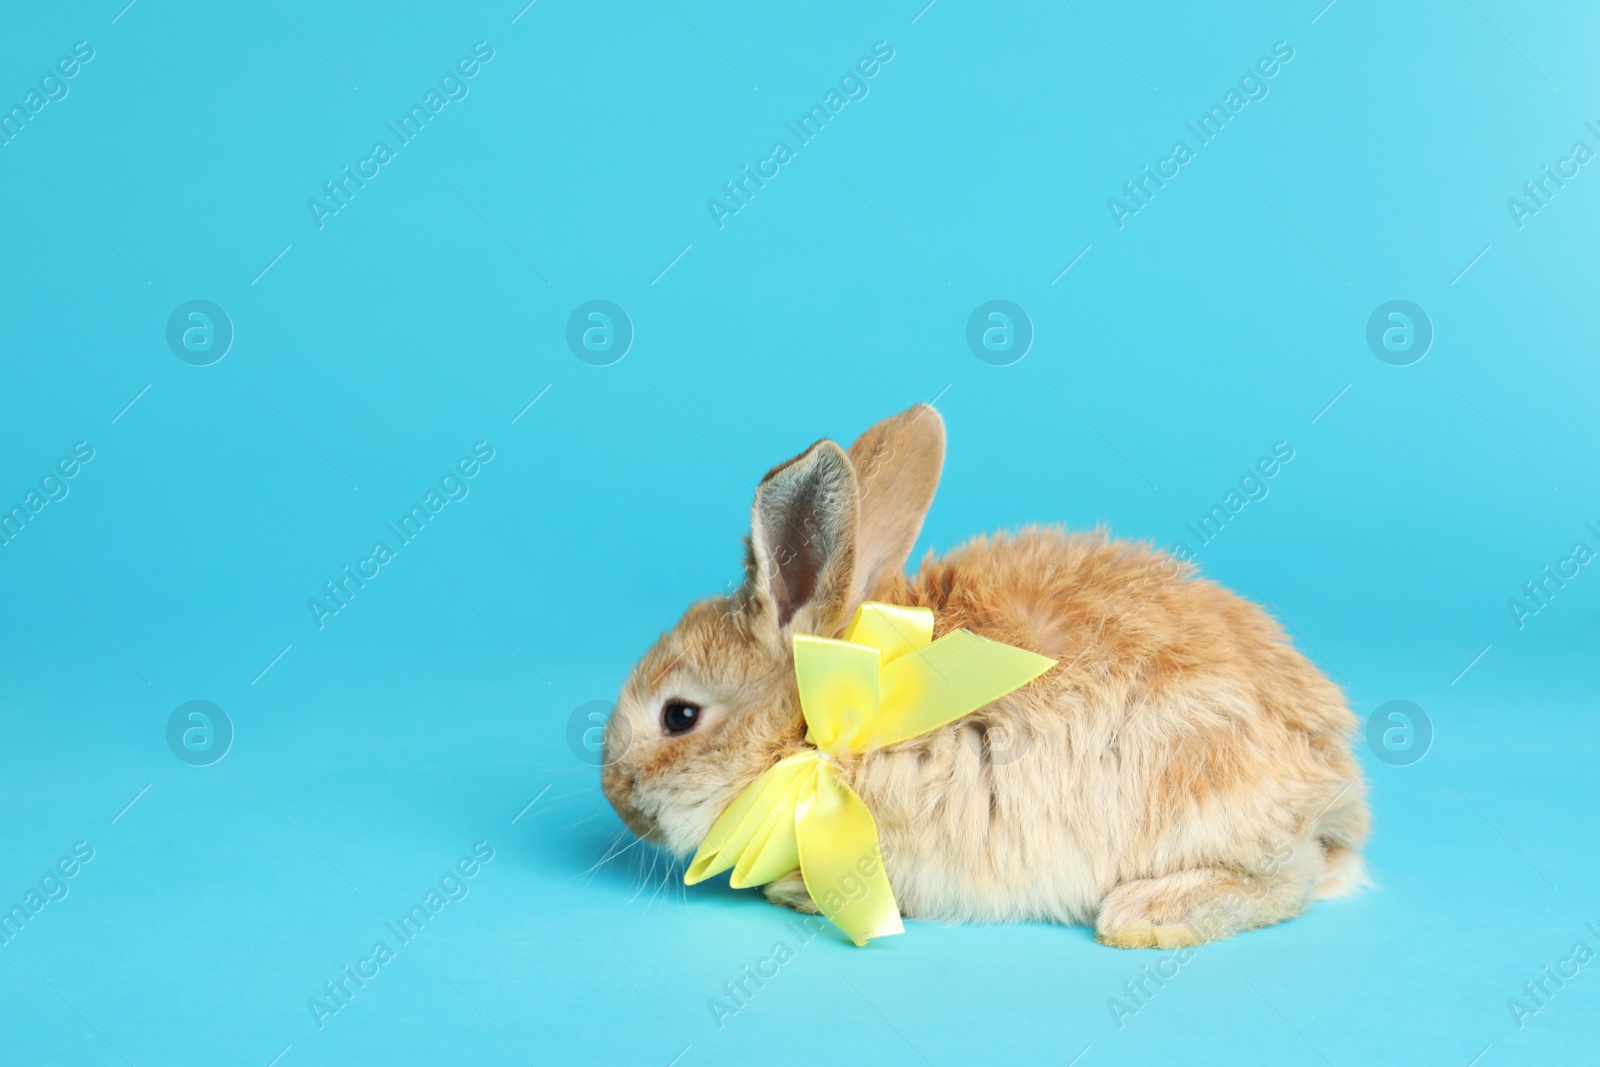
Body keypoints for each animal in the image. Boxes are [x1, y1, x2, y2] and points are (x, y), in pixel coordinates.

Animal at [595, 404, 1369, 947]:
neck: (824, 722)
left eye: (679, 715)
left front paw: (795, 892)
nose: (616, 794)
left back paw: (1146, 914)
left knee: (1293, 875)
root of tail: (1336, 787)